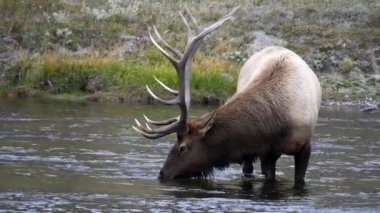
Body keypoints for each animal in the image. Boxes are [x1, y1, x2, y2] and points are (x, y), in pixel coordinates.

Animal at [133, 6, 320, 185]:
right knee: (247, 168)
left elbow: (299, 178)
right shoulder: (266, 153)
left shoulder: (305, 146)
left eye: (182, 147)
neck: (277, 128)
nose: (162, 173)